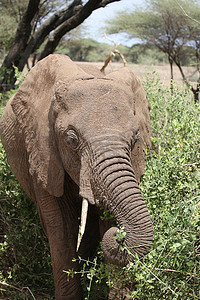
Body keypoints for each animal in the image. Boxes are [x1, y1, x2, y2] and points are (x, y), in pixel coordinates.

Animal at [0, 54, 153, 300]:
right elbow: (61, 225)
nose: (118, 236)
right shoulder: (42, 150)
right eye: (71, 140)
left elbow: (106, 219)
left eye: (135, 139)